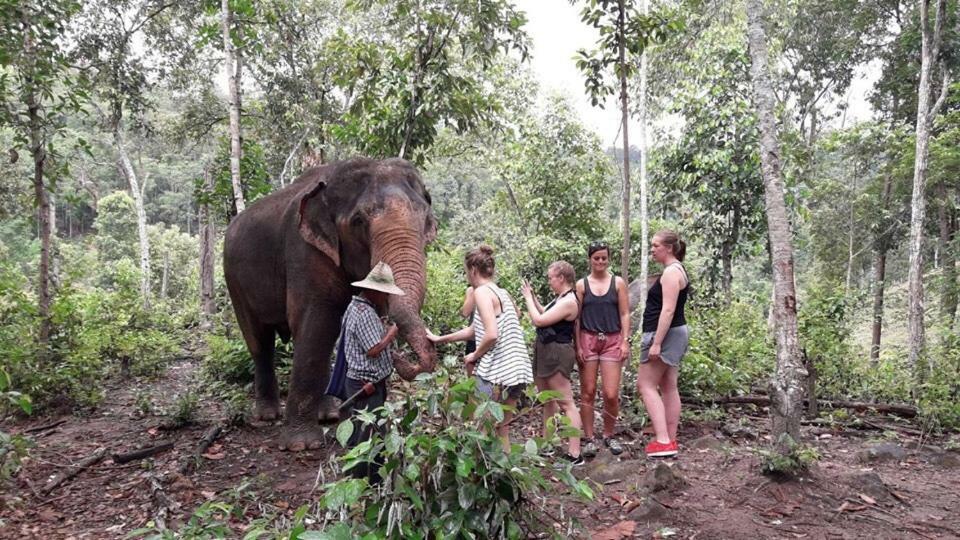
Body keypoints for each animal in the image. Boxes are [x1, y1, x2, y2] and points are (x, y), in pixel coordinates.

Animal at [223, 157, 436, 452]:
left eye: (425, 219)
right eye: (358, 221)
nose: (401, 356)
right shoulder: (305, 250)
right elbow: (315, 323)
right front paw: (301, 445)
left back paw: (329, 414)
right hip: (234, 279)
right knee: (259, 340)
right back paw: (267, 416)